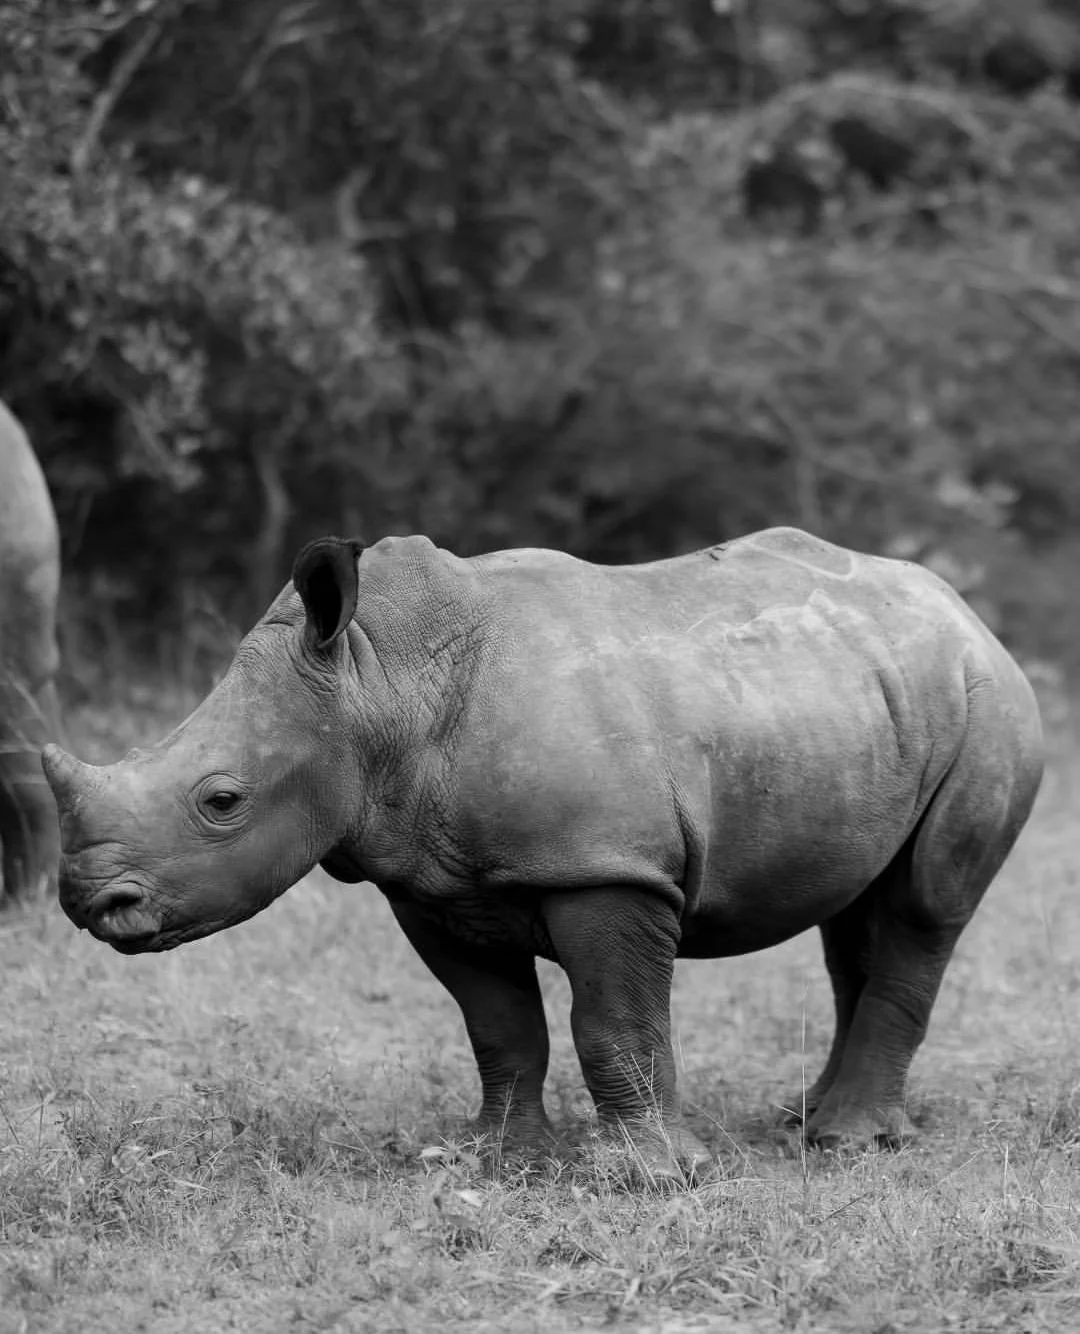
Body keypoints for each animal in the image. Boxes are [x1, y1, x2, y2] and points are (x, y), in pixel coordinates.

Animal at [42, 527, 1043, 1167]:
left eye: (221, 801)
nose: (89, 904)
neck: (375, 683)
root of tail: (965, 612)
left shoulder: (607, 865)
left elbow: (613, 1021)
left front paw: (647, 1177)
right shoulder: (427, 882)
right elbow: (498, 1023)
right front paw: (489, 1157)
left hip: (990, 706)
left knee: (924, 905)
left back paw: (847, 1144)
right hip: (861, 698)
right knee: (853, 913)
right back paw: (802, 1119)